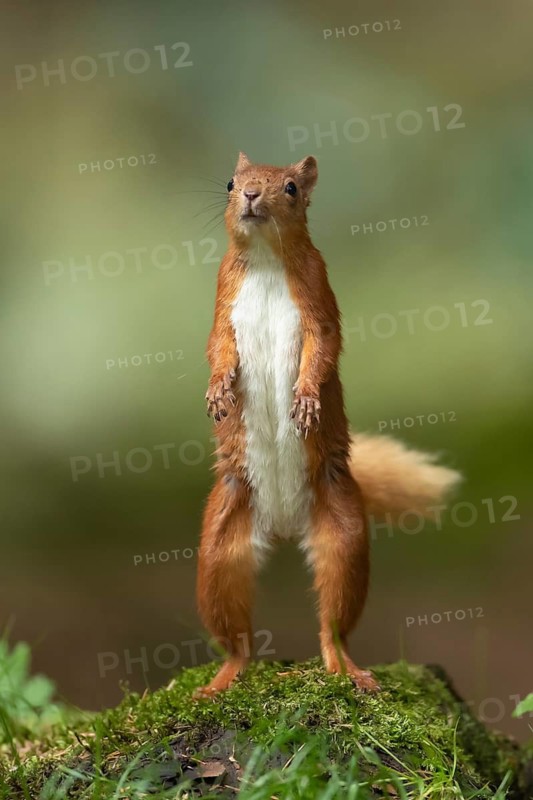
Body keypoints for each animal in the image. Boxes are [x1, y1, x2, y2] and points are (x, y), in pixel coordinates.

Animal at [194, 152, 461, 699]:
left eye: (291, 187)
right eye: (231, 182)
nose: (250, 194)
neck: (267, 262)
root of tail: (283, 525)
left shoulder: (319, 299)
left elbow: (323, 349)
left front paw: (306, 401)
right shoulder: (221, 303)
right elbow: (217, 348)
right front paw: (217, 393)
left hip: (343, 534)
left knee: (334, 622)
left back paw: (347, 670)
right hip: (218, 549)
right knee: (235, 637)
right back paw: (223, 679)